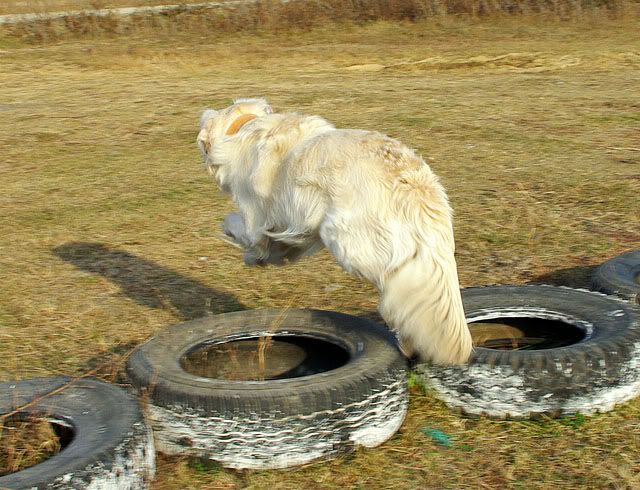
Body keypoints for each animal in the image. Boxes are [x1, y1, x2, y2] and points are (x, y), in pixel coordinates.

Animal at [198, 97, 472, 364]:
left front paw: (251, 253)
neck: (243, 126)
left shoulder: (253, 219)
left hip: (345, 241)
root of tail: (416, 192)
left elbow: (238, 227)